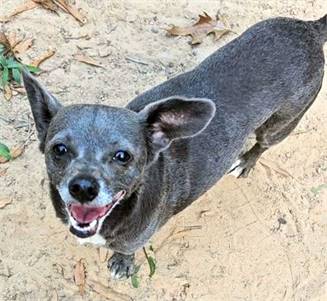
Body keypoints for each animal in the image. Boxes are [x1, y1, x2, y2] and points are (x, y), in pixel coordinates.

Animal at [23, 13, 327, 276]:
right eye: (59, 150)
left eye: (123, 156)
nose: (83, 188)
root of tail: (309, 28)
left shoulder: (133, 241)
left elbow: (126, 252)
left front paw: (122, 264)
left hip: (280, 125)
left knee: (263, 144)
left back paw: (246, 162)